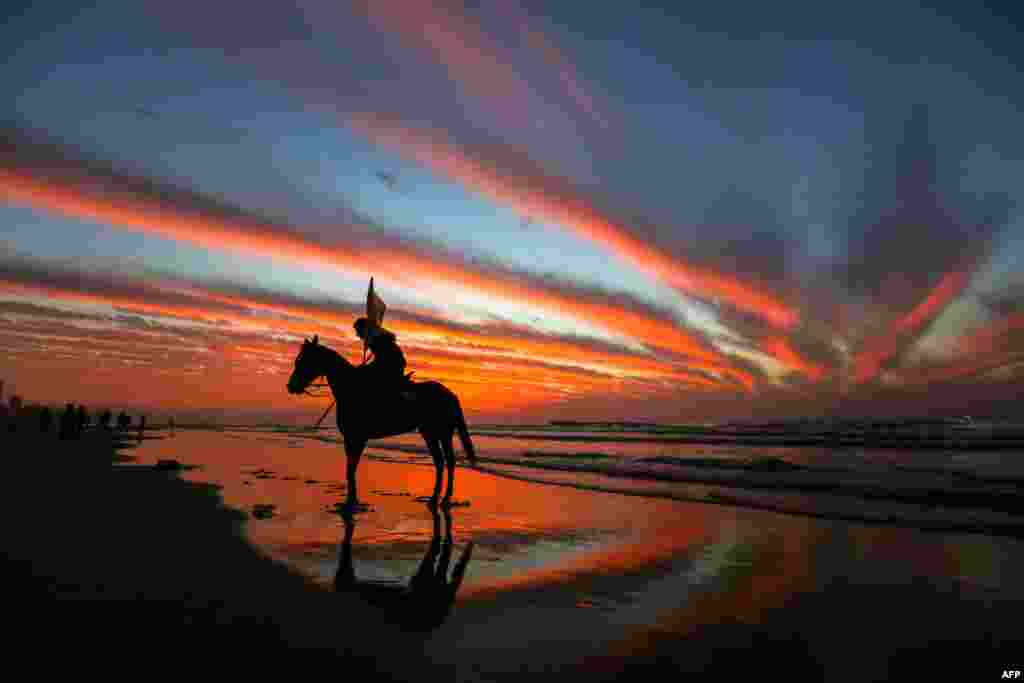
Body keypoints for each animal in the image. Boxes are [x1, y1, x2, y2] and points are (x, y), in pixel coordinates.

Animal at [286, 333, 477, 509]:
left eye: (304, 361)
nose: (291, 386)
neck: (350, 388)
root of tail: (450, 394)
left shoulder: (358, 438)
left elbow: (351, 469)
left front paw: (352, 502)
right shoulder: (350, 439)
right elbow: (350, 469)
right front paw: (351, 500)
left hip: (443, 433)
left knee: (449, 461)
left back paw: (444, 499)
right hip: (430, 433)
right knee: (439, 462)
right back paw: (434, 499)